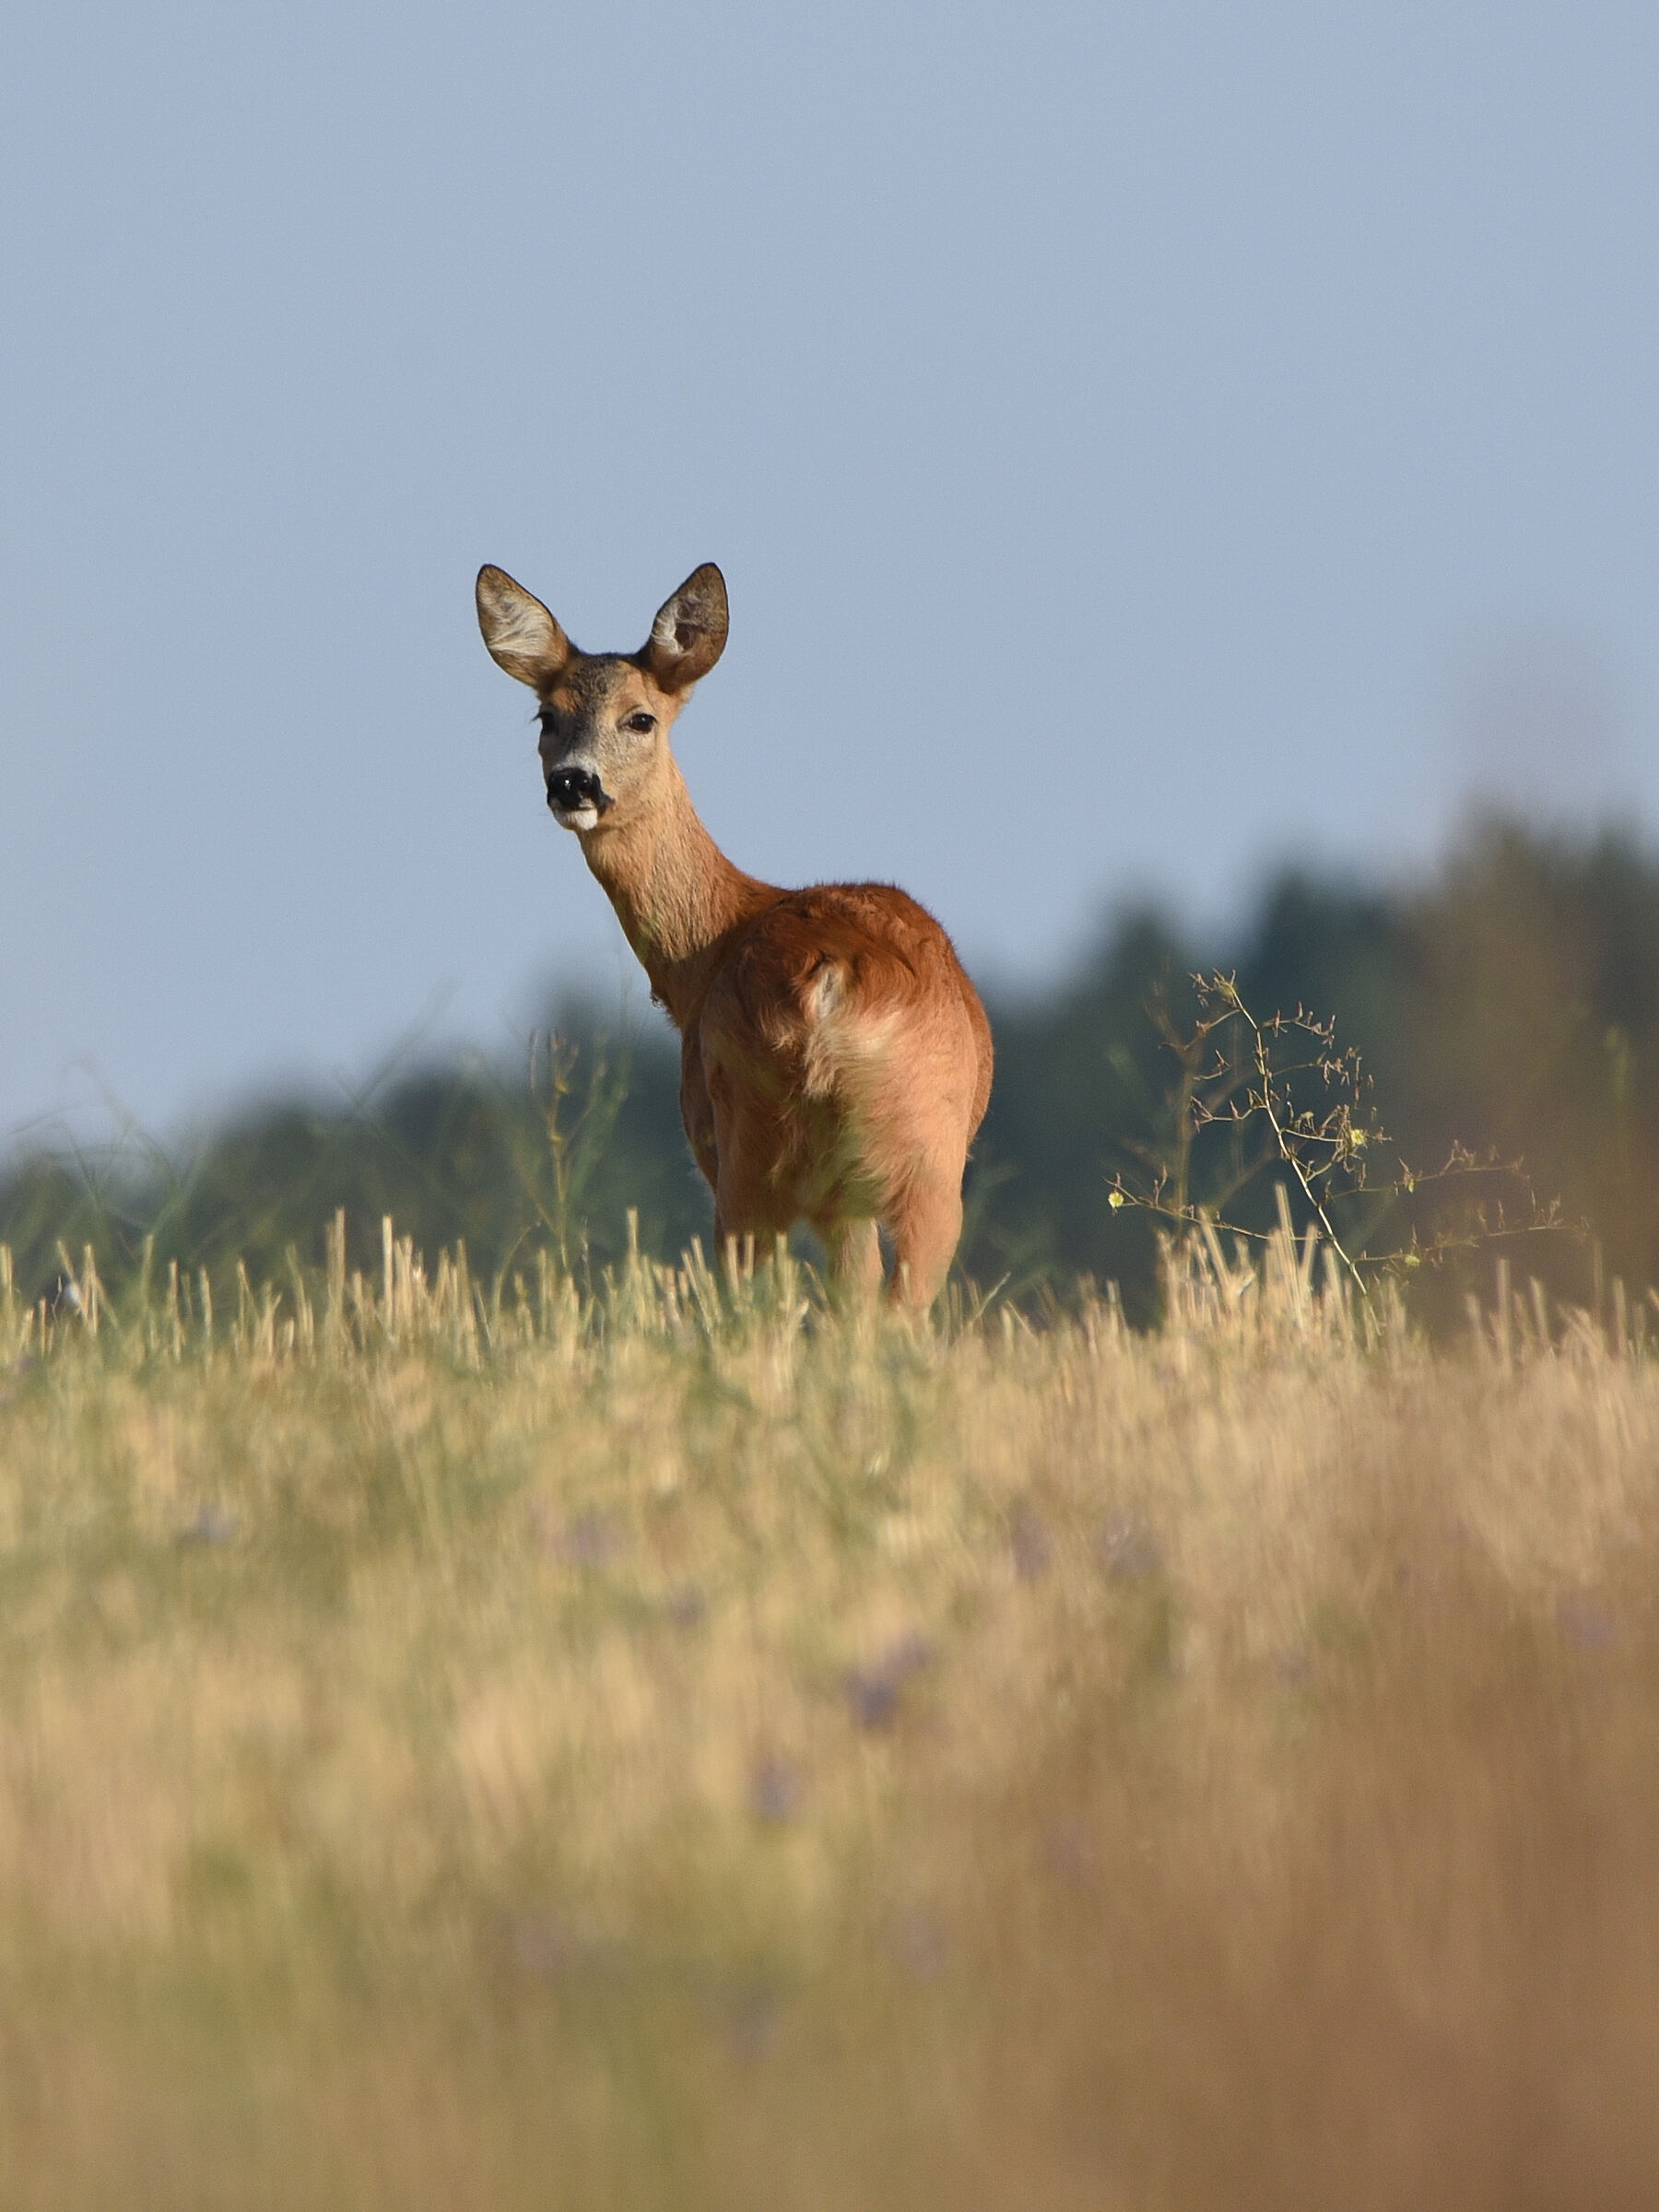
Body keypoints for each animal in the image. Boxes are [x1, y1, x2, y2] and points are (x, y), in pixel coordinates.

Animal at [475, 561, 993, 1306]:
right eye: (547, 716)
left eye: (641, 718)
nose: (574, 783)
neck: (709, 951)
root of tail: (828, 982)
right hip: (906, 1164)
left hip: (761, 1152)